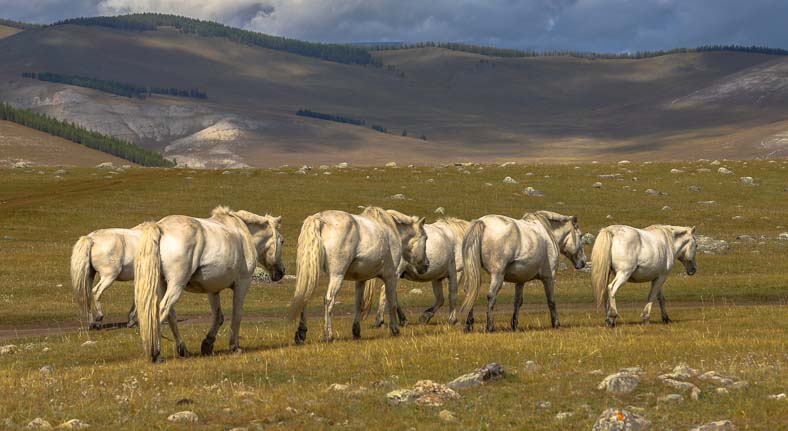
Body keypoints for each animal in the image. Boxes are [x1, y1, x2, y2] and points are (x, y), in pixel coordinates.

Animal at [134, 208, 284, 362]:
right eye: (282, 241)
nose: (281, 272)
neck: (243, 232)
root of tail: (160, 227)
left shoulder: (213, 289)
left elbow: (218, 317)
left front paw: (207, 344)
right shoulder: (243, 283)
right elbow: (237, 314)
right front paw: (234, 346)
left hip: (163, 285)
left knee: (170, 315)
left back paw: (183, 350)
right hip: (176, 285)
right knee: (162, 311)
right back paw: (156, 353)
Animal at [290, 206, 428, 344]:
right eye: (425, 238)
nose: (426, 265)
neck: (391, 230)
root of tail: (319, 219)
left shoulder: (361, 279)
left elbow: (358, 304)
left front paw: (356, 331)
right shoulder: (391, 277)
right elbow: (391, 302)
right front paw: (395, 329)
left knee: (305, 297)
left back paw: (301, 334)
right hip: (337, 276)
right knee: (329, 300)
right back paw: (328, 335)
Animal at [456, 213, 584, 334]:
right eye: (580, 236)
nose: (582, 262)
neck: (548, 233)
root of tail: (482, 222)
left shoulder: (520, 280)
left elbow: (518, 302)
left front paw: (515, 325)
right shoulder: (549, 278)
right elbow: (551, 300)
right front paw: (556, 324)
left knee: (471, 292)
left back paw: (469, 325)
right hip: (498, 276)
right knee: (491, 296)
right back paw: (490, 327)